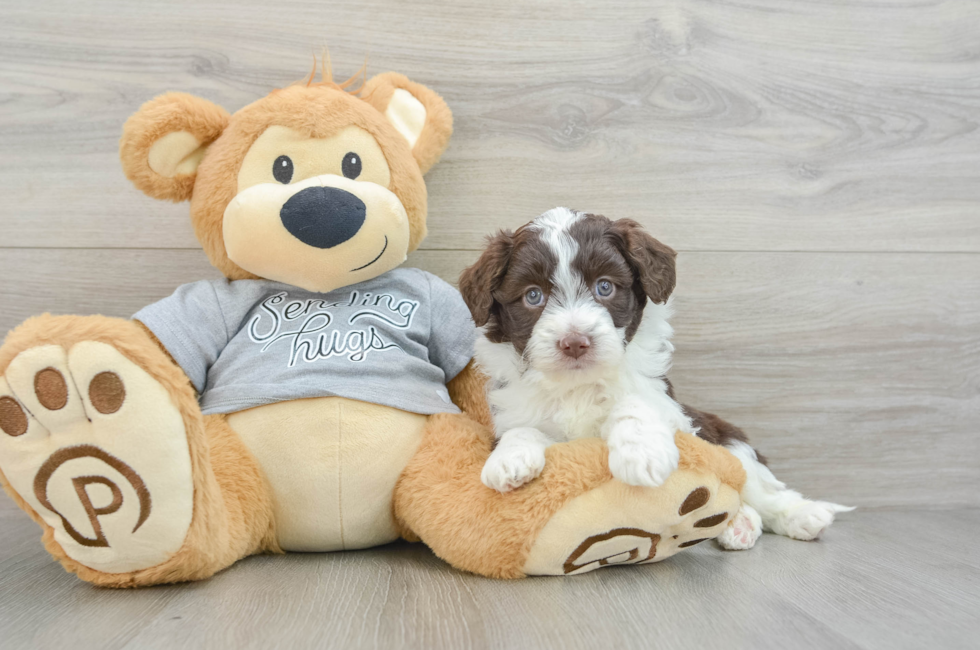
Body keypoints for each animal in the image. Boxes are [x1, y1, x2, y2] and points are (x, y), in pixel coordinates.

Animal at [460, 208, 848, 548]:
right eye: (533, 296)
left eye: (604, 287)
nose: (574, 343)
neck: (578, 385)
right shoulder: (513, 408)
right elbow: (520, 429)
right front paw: (509, 460)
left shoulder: (669, 405)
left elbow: (635, 402)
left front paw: (641, 453)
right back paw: (739, 525)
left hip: (730, 443)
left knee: (760, 489)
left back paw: (802, 515)